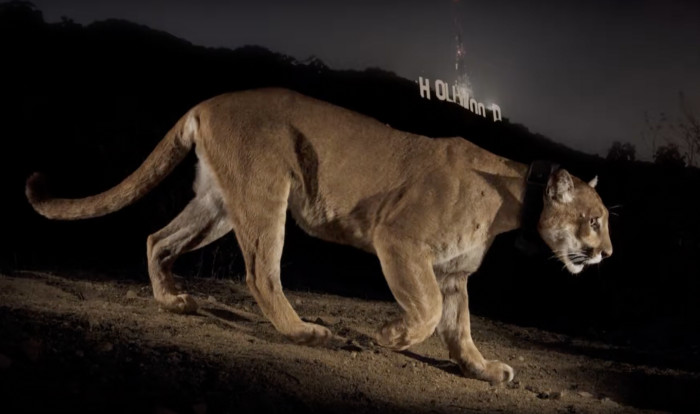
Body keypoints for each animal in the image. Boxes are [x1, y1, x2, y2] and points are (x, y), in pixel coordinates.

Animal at [26, 88, 612, 383]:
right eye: (595, 219)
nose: (607, 252)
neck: (513, 198)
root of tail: (208, 102)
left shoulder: (452, 273)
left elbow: (459, 329)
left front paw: (484, 369)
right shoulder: (400, 241)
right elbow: (425, 313)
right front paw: (389, 336)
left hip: (218, 204)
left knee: (157, 239)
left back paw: (173, 301)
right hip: (266, 192)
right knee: (261, 272)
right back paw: (307, 333)